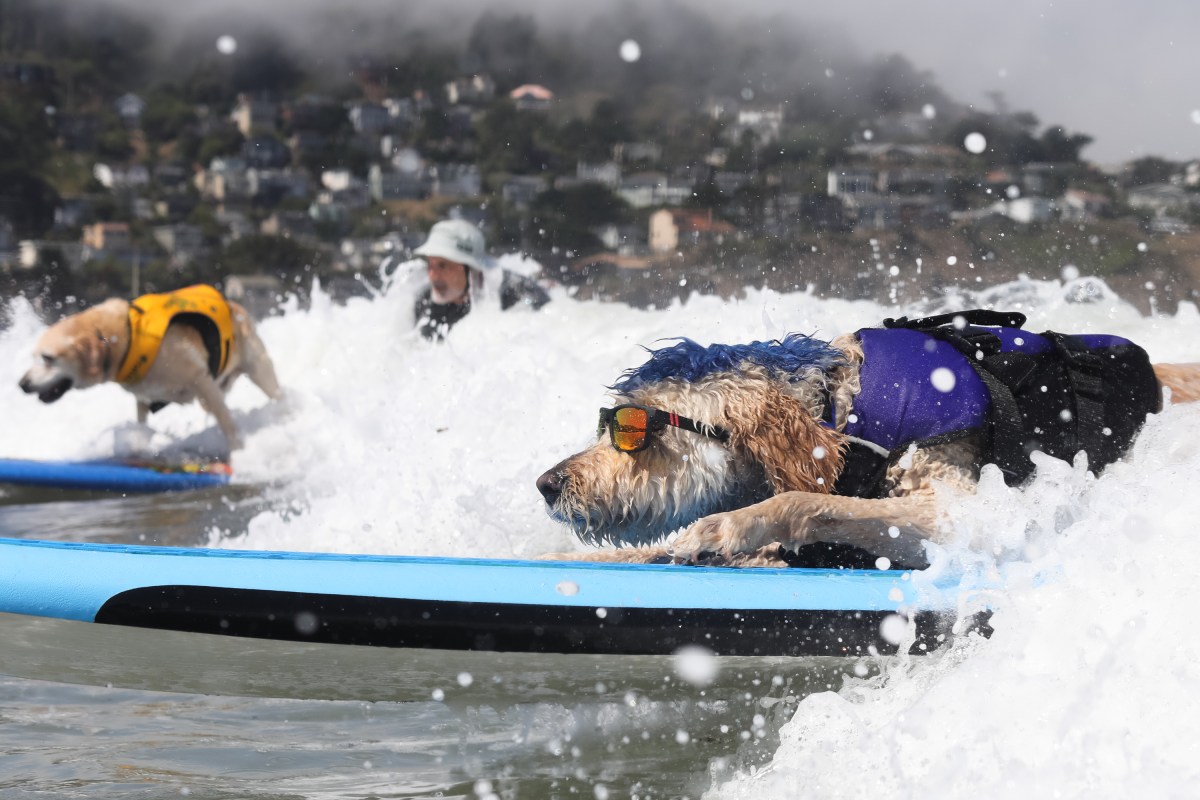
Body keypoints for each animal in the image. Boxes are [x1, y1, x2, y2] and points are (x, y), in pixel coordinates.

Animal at [17, 286, 279, 450]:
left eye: (48, 358)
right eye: (33, 356)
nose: (22, 385)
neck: (125, 338)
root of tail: (234, 305)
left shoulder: (201, 381)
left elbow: (228, 424)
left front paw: (239, 450)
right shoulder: (143, 397)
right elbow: (141, 425)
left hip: (259, 369)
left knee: (275, 393)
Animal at [540, 311, 1200, 568]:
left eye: (633, 433)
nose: (547, 484)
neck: (840, 408)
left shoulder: (962, 508)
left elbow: (807, 502)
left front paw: (730, 527)